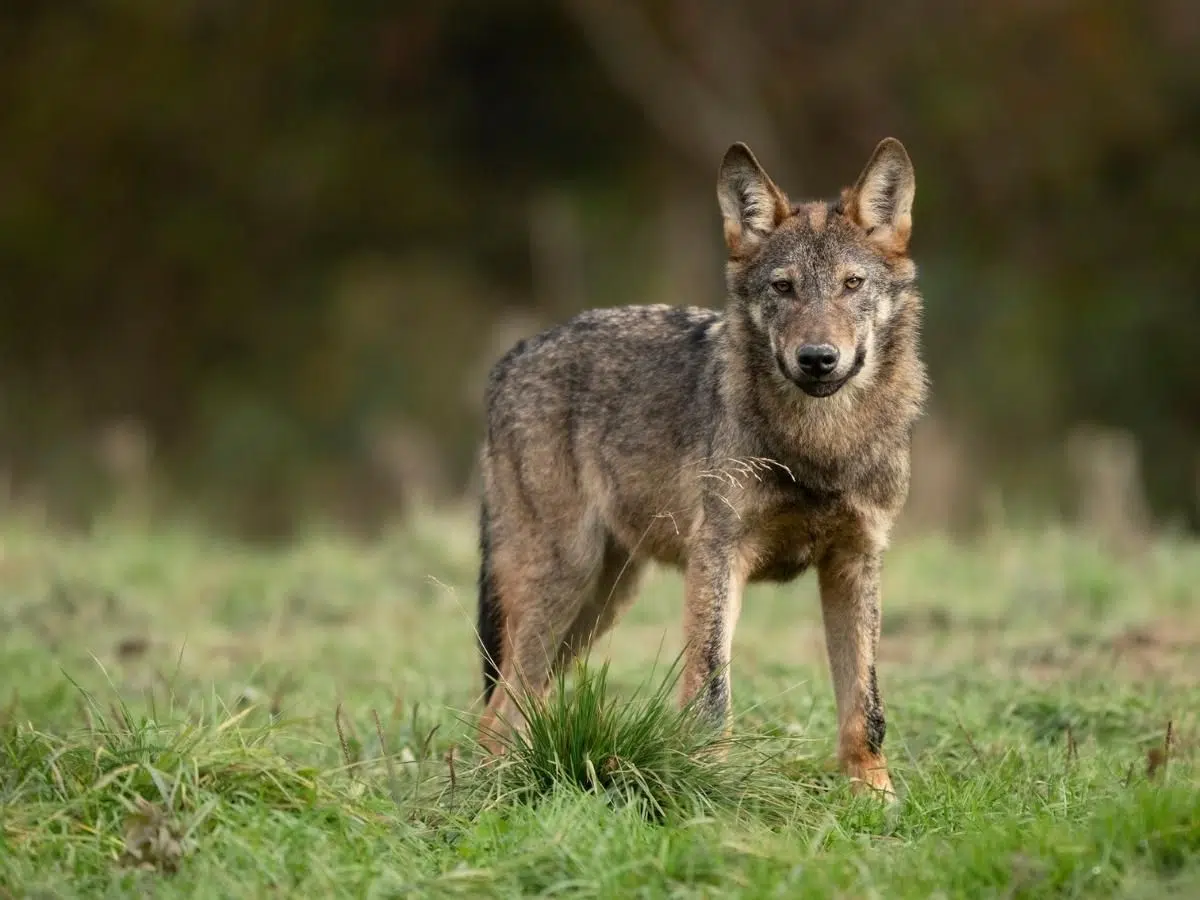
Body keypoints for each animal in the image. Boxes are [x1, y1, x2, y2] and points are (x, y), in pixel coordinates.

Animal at [472, 137, 921, 792]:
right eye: (783, 288)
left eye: (851, 283)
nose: (817, 358)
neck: (819, 445)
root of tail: (510, 360)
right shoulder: (717, 556)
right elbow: (711, 692)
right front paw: (712, 787)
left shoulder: (856, 561)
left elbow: (866, 704)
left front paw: (873, 794)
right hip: (564, 582)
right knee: (498, 711)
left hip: (603, 599)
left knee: (516, 704)